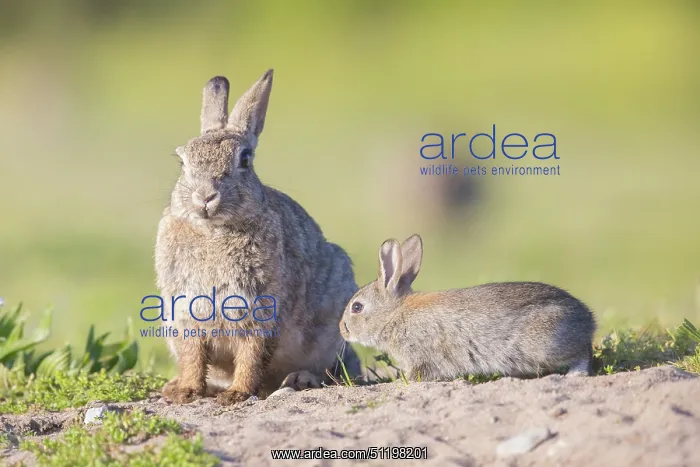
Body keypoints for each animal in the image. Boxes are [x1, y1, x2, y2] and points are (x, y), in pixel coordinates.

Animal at [155, 69, 360, 405]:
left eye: (245, 160)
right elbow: (193, 356)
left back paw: (300, 379)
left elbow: (252, 354)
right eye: (183, 162)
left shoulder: (260, 309)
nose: (205, 196)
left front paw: (237, 394)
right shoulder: (185, 312)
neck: (214, 230)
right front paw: (185, 391)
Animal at [339, 234, 596, 381]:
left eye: (357, 307)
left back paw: (575, 374)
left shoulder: (421, 353)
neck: (394, 314)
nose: (342, 330)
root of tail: (588, 320)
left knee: (582, 354)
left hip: (544, 343)